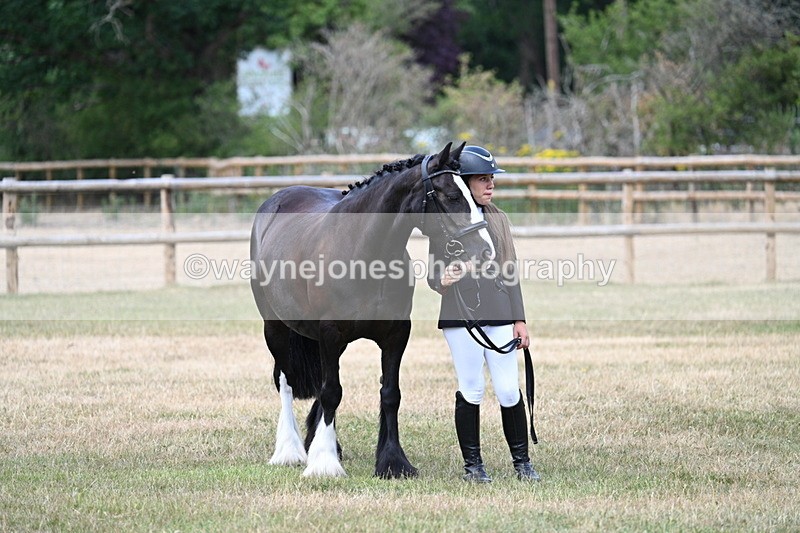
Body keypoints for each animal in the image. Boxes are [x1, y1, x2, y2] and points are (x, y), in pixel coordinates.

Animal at [249, 142, 495, 478]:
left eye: (471, 194)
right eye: (452, 196)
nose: (485, 252)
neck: (364, 251)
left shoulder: (395, 335)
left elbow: (389, 394)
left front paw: (393, 461)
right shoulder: (330, 333)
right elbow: (331, 392)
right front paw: (324, 464)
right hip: (275, 328)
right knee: (285, 381)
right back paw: (290, 450)